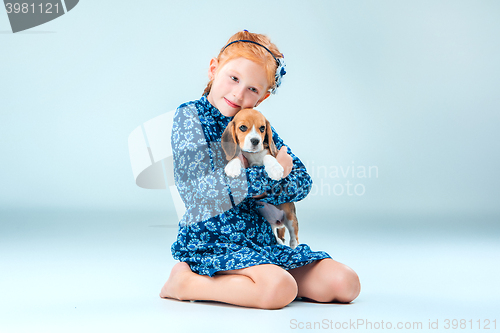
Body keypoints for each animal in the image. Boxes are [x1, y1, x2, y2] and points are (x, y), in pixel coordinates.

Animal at [223, 107, 300, 248]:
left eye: (262, 128)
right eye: (243, 127)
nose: (255, 141)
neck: (252, 154)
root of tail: (278, 222)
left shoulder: (269, 153)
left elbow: (267, 157)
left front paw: (275, 169)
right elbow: (236, 156)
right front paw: (232, 167)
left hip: (290, 216)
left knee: (294, 235)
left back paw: (293, 246)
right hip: (270, 223)